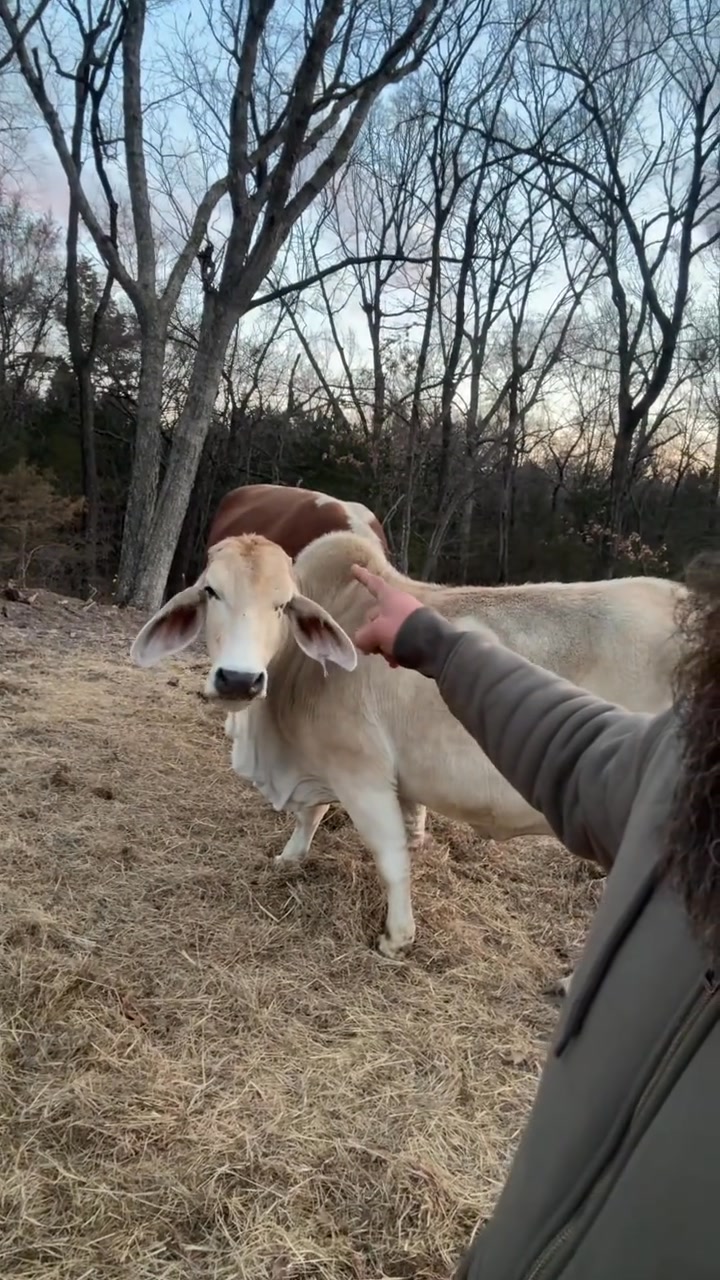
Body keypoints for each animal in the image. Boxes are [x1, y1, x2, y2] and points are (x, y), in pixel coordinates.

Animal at [130, 531, 685, 960]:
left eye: (283, 604)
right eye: (211, 592)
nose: (239, 680)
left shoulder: (362, 773)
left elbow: (389, 856)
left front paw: (397, 938)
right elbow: (313, 816)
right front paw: (291, 857)